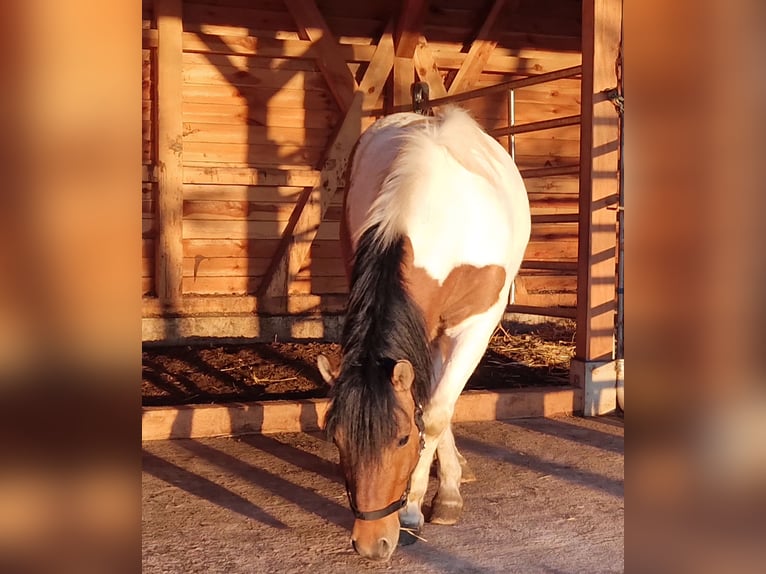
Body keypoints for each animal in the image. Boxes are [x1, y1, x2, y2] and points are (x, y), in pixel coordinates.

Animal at [317, 107, 531, 561]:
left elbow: (433, 415)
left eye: (401, 440)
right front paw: (441, 487)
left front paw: (420, 505)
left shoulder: (476, 326)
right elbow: (431, 406)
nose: (371, 544)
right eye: (337, 440)